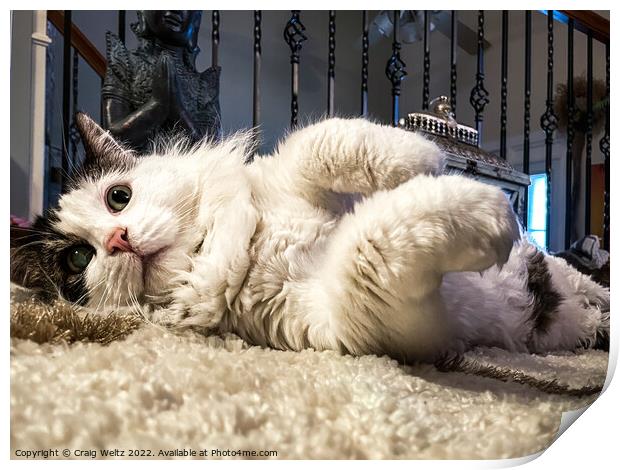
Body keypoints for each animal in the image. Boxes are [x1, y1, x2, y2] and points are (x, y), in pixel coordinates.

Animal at [10, 114, 612, 364]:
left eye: (118, 197)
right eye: (77, 260)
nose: (117, 239)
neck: (232, 249)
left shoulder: (290, 175)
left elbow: (323, 139)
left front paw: (426, 160)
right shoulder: (358, 320)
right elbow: (374, 242)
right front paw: (487, 210)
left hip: (575, 279)